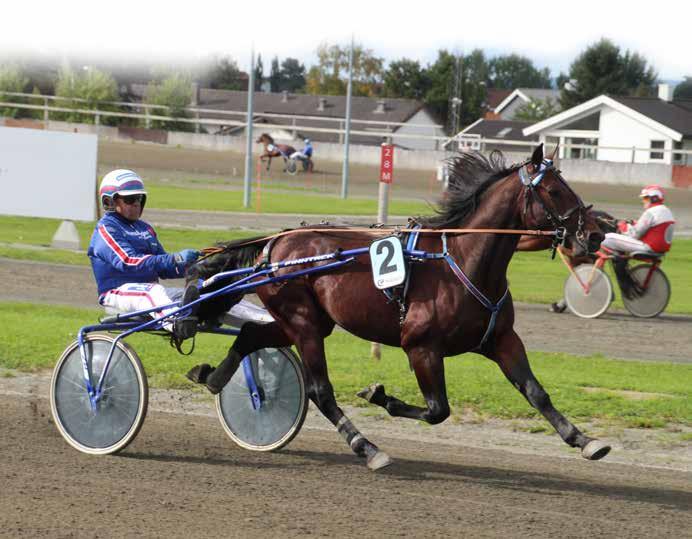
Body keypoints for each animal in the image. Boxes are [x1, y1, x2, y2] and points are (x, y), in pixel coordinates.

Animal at [187, 146, 608, 470]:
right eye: (554, 190)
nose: (595, 233)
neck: (463, 260)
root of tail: (274, 243)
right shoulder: (421, 347)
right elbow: (438, 410)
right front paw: (379, 395)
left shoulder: (501, 339)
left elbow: (536, 392)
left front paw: (584, 439)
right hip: (302, 321)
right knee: (320, 390)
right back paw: (367, 448)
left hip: (306, 320)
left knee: (249, 334)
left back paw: (213, 377)